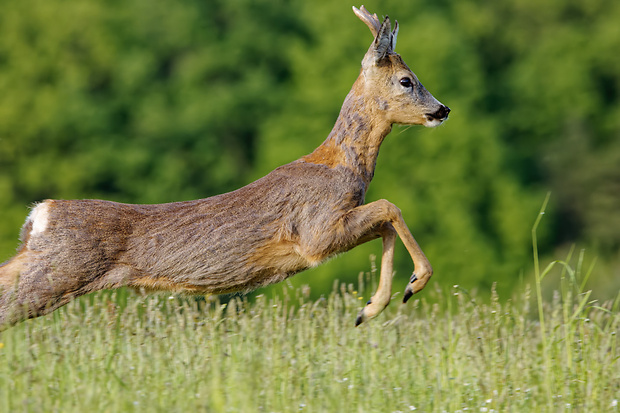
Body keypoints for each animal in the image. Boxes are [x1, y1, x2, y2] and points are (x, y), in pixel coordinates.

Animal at [1, 5, 450, 328]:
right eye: (407, 80)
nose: (443, 109)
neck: (341, 166)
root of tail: (40, 214)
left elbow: (385, 222)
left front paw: (373, 306)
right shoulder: (316, 232)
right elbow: (390, 207)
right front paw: (411, 286)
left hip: (39, 264)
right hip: (58, 272)